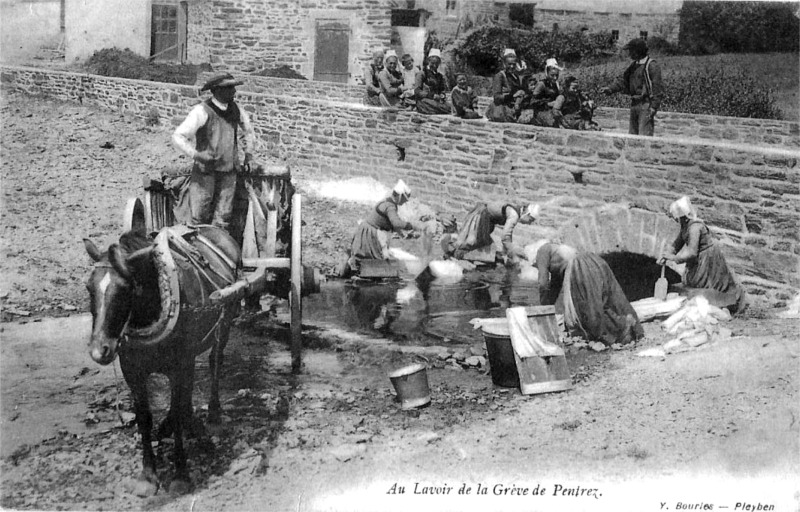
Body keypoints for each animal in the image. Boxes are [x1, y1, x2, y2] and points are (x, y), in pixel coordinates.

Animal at [83, 225, 244, 496]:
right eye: (88, 287)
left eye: (126, 288)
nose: (100, 350)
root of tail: (215, 229)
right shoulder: (133, 371)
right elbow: (144, 418)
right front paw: (148, 475)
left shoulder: (178, 366)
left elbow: (178, 410)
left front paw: (181, 474)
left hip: (224, 323)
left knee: (215, 363)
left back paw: (212, 416)